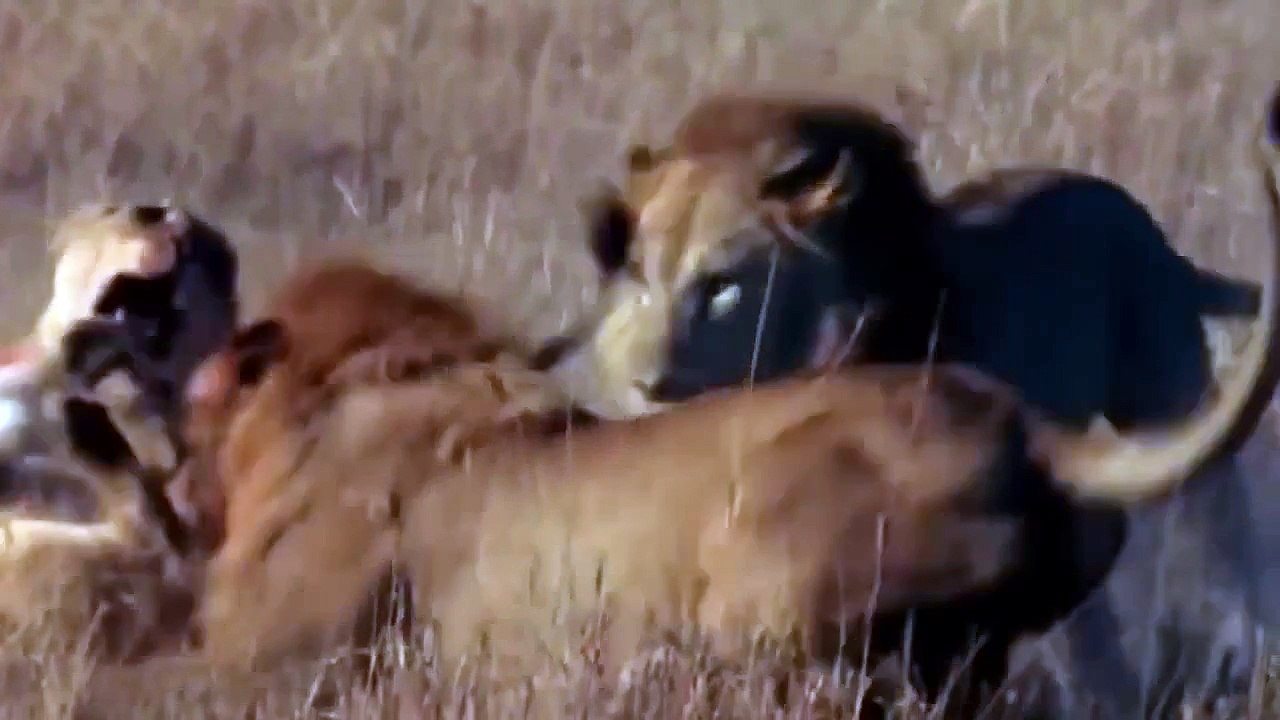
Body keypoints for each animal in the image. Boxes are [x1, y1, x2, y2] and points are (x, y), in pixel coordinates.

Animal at [534, 86, 1280, 713]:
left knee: (1225, 546)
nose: (648, 384)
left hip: (1165, 402)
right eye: (638, 280)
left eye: (722, 287)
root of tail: (1147, 227)